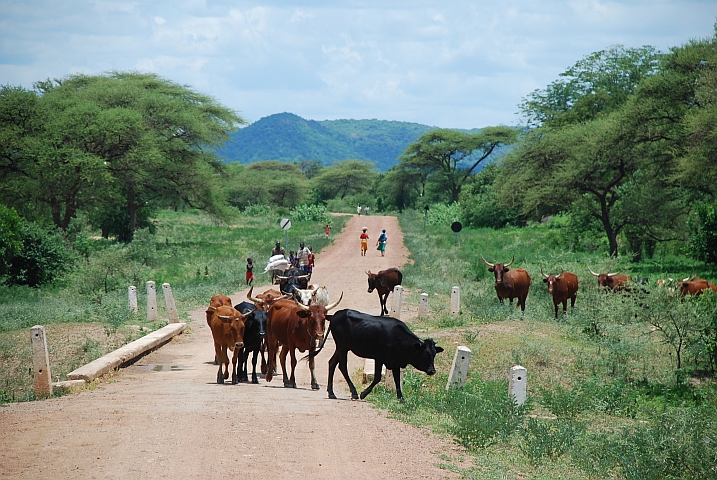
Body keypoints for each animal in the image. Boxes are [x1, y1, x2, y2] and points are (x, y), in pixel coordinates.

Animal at [308, 308, 442, 402]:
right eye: (425, 354)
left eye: (434, 354)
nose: (432, 370)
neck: (399, 338)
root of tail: (337, 314)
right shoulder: (379, 357)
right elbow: (377, 377)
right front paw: (363, 394)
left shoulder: (395, 362)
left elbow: (397, 381)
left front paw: (401, 399)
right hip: (342, 347)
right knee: (342, 367)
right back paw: (354, 393)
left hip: (342, 347)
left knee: (332, 363)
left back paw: (331, 393)